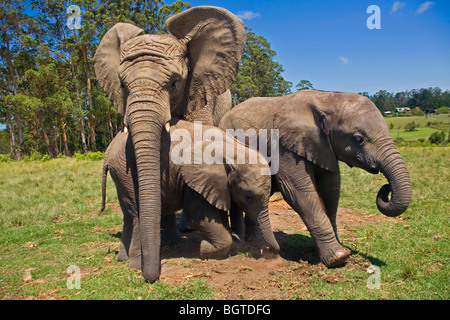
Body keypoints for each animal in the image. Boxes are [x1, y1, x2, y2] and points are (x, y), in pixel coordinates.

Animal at [101, 120, 282, 270]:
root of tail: (108, 152)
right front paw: (205, 248)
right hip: (126, 173)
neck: (234, 151)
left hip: (120, 176)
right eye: (249, 197)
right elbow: (196, 214)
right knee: (134, 213)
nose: (270, 253)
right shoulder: (195, 180)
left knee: (128, 214)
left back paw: (123, 259)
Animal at [218, 89, 412, 268]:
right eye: (358, 139)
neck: (328, 98)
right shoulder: (283, 145)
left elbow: (331, 189)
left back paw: (255, 240)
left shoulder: (324, 146)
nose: (386, 188)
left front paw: (336, 250)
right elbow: (299, 190)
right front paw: (338, 257)